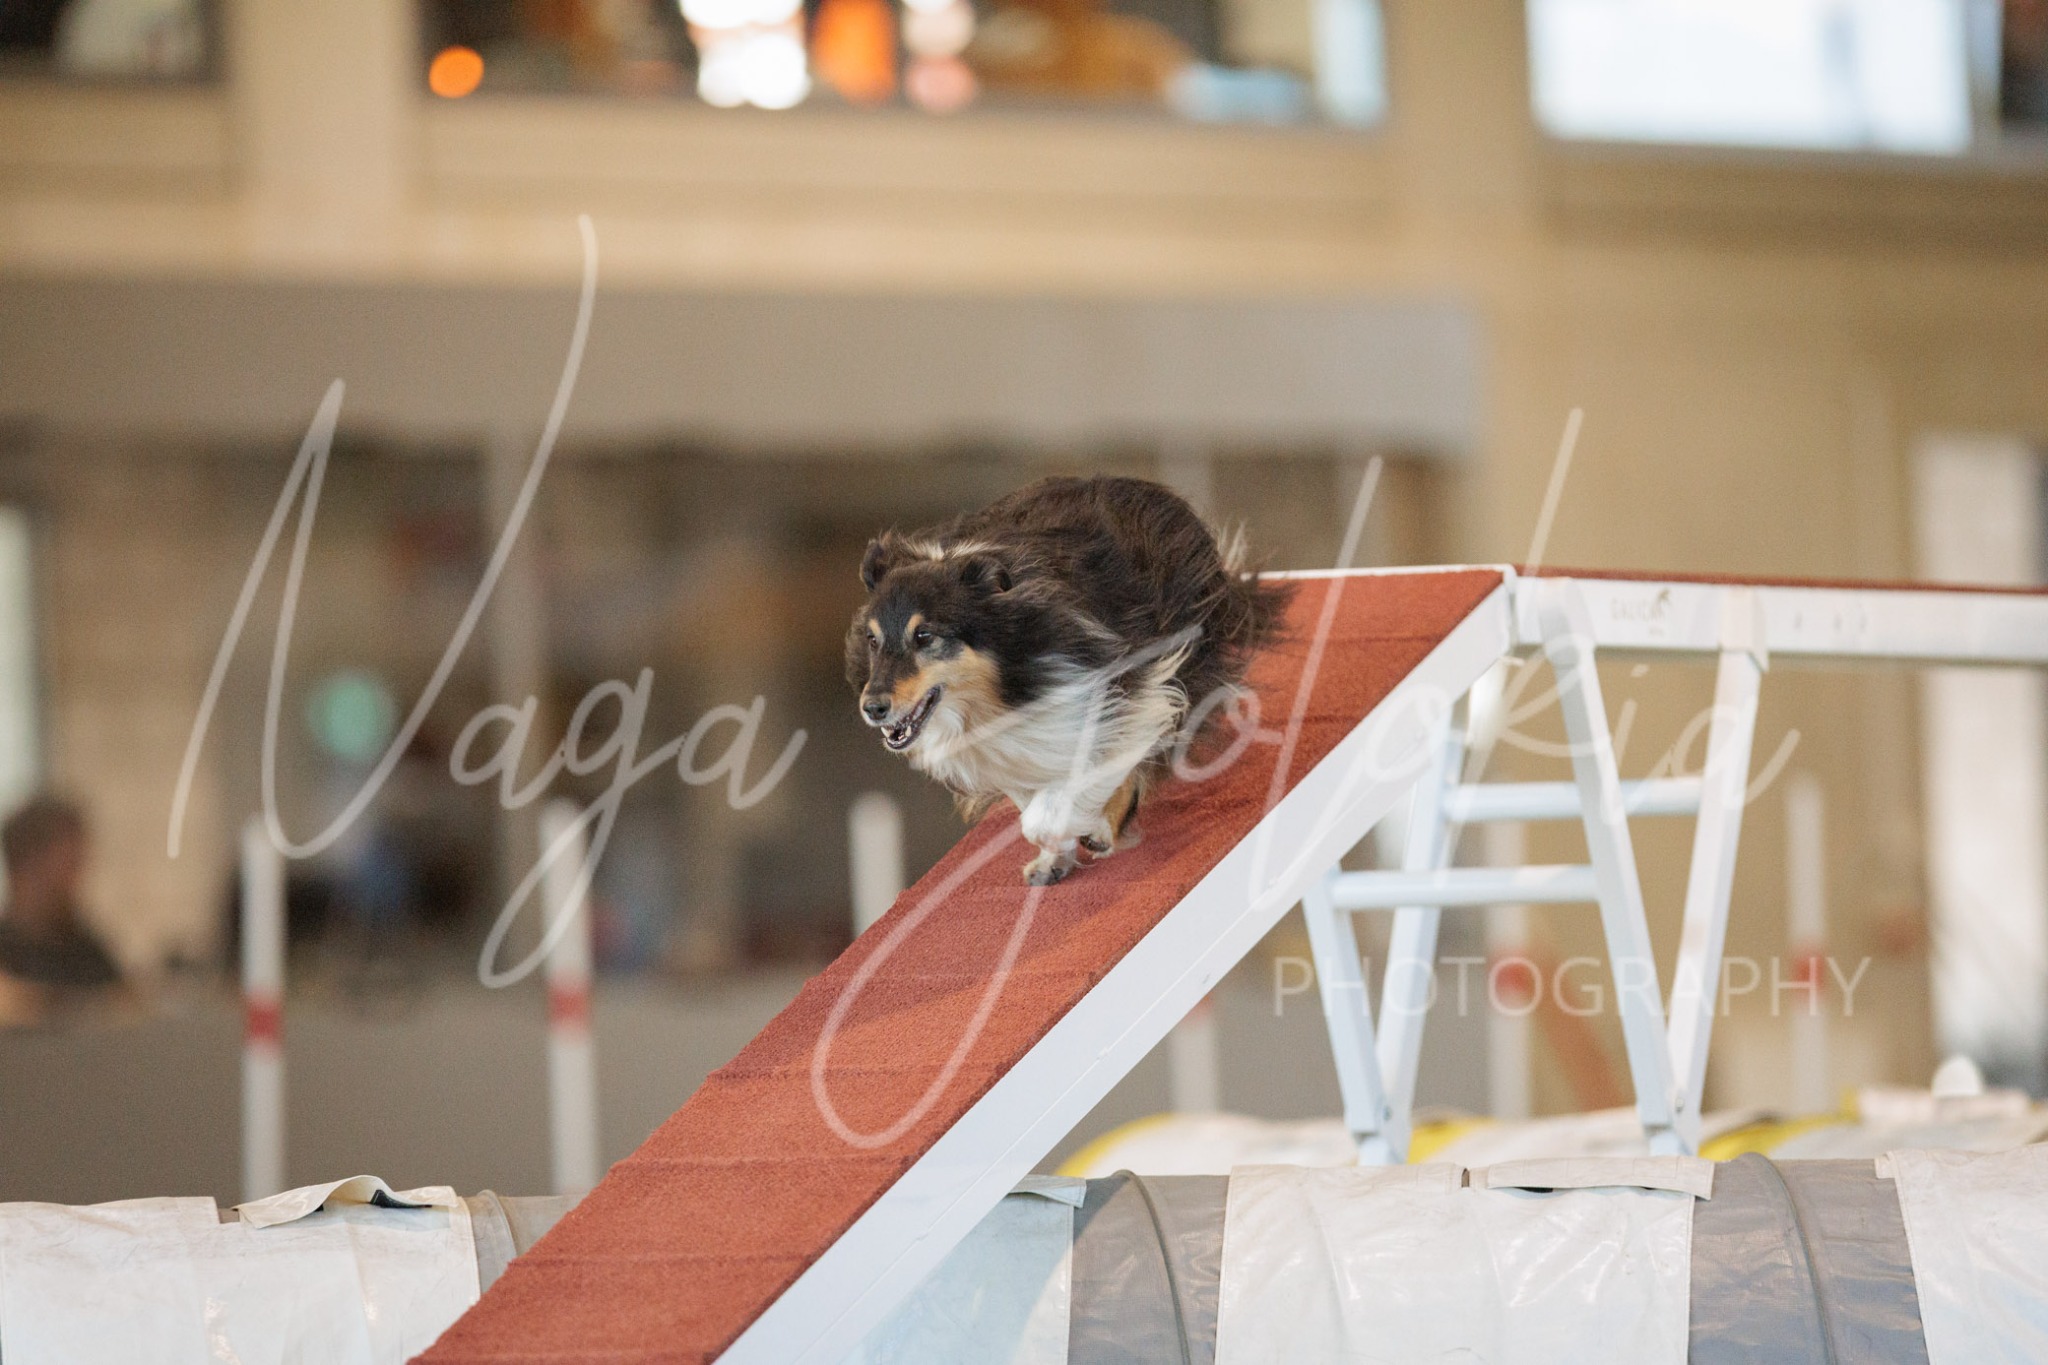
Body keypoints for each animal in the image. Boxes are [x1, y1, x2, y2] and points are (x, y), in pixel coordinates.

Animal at [846, 475, 1289, 885]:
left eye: (924, 636)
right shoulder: (1016, 742)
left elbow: (1045, 813)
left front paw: (1080, 827)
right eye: (872, 640)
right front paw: (1054, 858)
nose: (872, 708)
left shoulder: (1124, 686)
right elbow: (1031, 795)